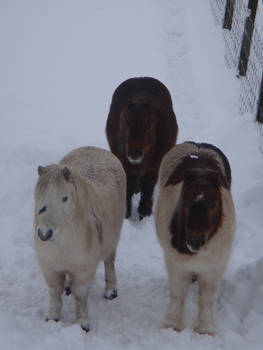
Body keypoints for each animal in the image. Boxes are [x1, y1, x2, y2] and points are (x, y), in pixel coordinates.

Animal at [106, 76, 178, 219]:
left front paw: (144, 214)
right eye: (126, 122)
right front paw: (126, 216)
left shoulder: (153, 170)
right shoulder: (126, 168)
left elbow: (147, 194)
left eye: (150, 125)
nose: (135, 153)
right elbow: (127, 192)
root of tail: (141, 77)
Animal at [156, 142, 236, 334]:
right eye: (184, 200)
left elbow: (207, 298)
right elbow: (178, 294)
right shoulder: (176, 264)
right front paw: (172, 325)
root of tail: (198, 144)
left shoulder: (215, 268)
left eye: (214, 204)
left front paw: (205, 329)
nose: (195, 241)